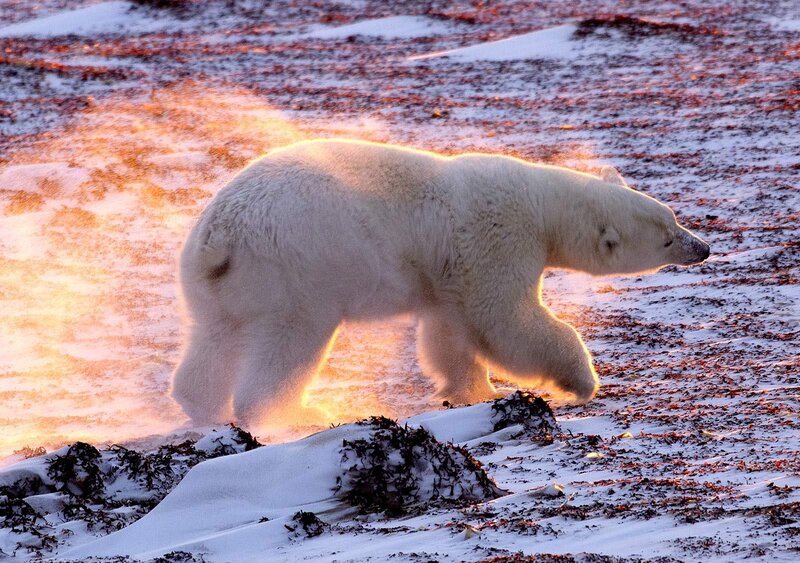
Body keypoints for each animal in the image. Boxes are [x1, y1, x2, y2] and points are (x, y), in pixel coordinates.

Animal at [171, 139, 710, 427]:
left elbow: (448, 332)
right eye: (667, 237)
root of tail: (221, 234)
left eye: (673, 217)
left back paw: (198, 403)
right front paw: (580, 381)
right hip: (296, 268)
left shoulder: (449, 274)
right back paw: (296, 412)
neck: (540, 202)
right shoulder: (498, 237)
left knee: (215, 335)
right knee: (291, 339)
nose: (702, 247)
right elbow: (505, 320)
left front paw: (473, 388)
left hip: (212, 280)